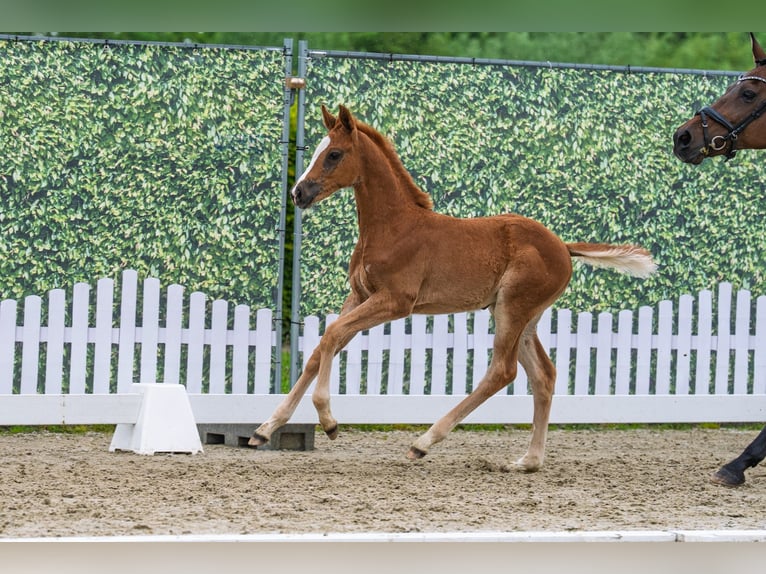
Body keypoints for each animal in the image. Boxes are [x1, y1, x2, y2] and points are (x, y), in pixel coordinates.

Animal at [250, 104, 656, 471]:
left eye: (334, 154)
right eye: (317, 150)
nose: (299, 193)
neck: (393, 228)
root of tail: (562, 246)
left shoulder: (395, 301)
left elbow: (332, 335)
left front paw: (329, 422)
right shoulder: (360, 296)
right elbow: (320, 349)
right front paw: (265, 429)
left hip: (513, 308)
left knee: (503, 371)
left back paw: (423, 443)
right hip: (522, 315)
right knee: (543, 375)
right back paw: (529, 461)